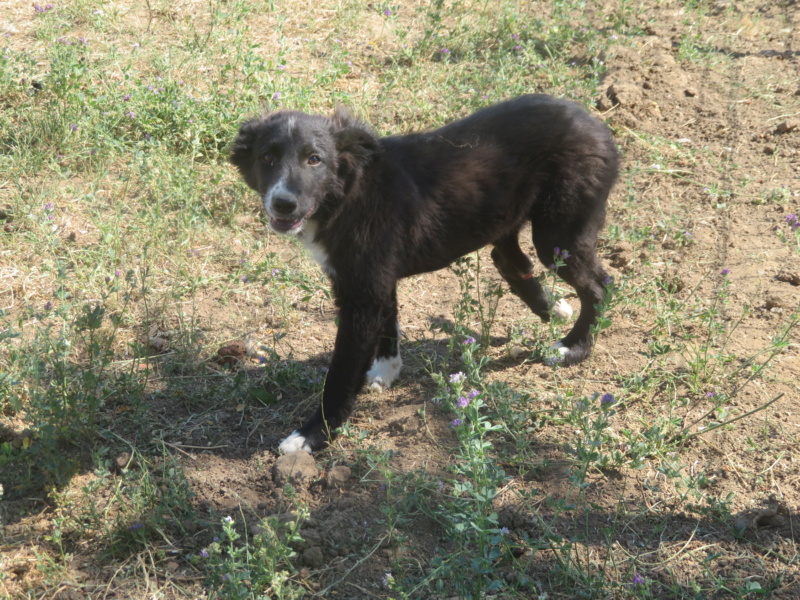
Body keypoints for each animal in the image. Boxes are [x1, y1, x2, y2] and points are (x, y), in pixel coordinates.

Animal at [230, 94, 620, 452]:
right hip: (509, 216)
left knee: (599, 286)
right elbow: (389, 324)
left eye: (314, 159)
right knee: (511, 261)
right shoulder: (373, 280)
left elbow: (341, 372)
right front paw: (386, 370)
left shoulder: (363, 292)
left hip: (560, 230)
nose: (283, 203)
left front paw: (313, 435)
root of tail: (596, 124)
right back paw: (553, 309)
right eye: (266, 158)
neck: (349, 190)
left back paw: (574, 347)